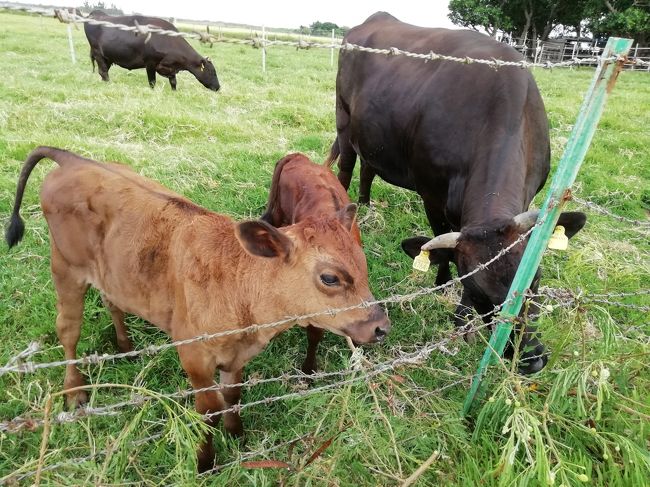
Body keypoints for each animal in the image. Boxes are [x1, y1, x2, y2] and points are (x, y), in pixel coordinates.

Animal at [83, 10, 219, 91]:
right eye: (212, 72)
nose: (218, 87)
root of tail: (96, 13)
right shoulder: (151, 63)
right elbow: (152, 82)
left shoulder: (170, 68)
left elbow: (173, 82)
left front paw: (174, 92)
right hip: (98, 53)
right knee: (103, 71)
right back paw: (109, 85)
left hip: (108, 57)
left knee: (103, 71)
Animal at [326, 12, 584, 374]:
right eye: (477, 293)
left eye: (535, 280)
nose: (531, 359)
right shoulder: (432, 196)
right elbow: (443, 246)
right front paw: (452, 302)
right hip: (344, 119)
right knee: (347, 169)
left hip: (373, 136)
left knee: (368, 168)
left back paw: (365, 205)